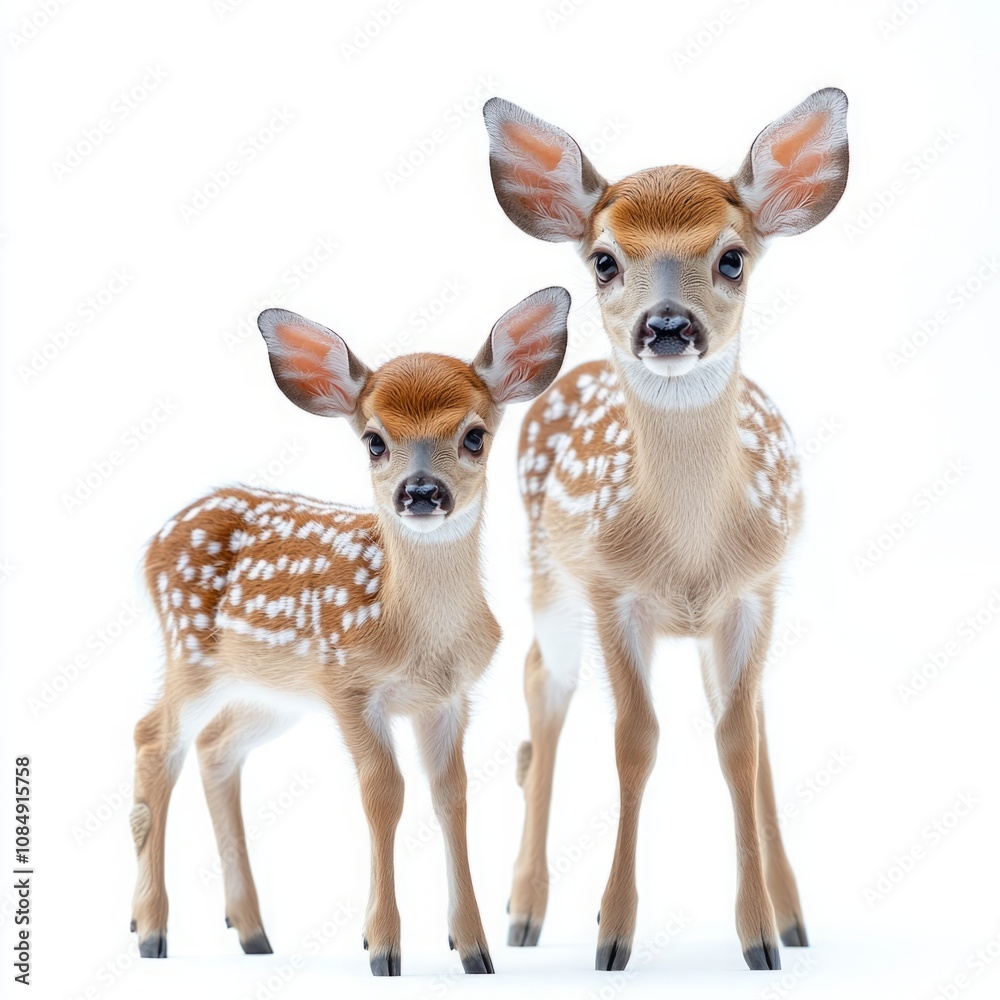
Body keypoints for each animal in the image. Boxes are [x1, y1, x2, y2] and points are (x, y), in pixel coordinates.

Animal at [127, 286, 571, 976]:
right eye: (373, 441)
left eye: (475, 436)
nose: (421, 492)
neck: (414, 632)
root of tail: (156, 539)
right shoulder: (347, 683)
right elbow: (384, 793)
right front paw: (382, 947)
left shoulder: (447, 697)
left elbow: (451, 795)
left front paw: (474, 949)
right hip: (191, 652)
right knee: (154, 740)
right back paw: (150, 932)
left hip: (270, 691)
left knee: (217, 747)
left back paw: (252, 932)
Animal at [482, 89, 849, 972]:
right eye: (604, 260)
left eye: (733, 258)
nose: (669, 326)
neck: (687, 551)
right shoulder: (611, 590)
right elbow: (635, 740)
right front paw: (613, 936)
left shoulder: (756, 591)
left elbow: (739, 741)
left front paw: (764, 936)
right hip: (547, 571)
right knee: (543, 682)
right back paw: (524, 910)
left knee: (750, 720)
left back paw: (795, 914)